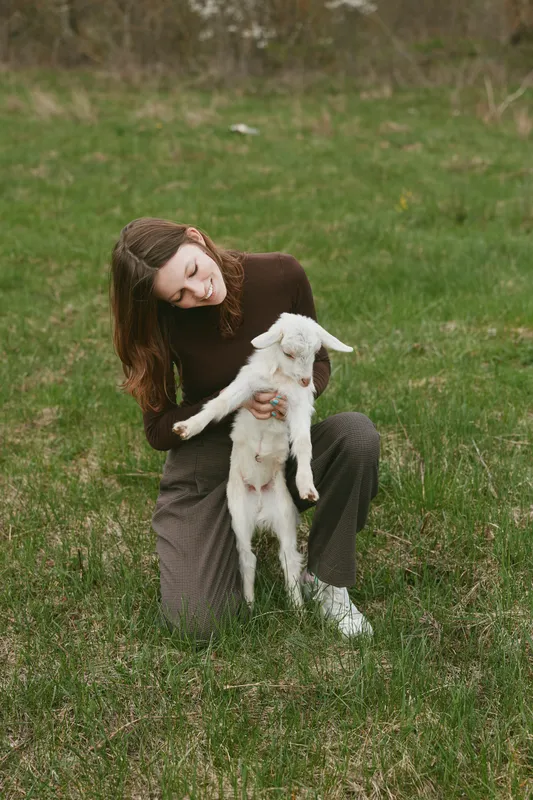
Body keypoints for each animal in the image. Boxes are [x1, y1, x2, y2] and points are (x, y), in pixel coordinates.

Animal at [172, 313, 353, 608]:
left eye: (316, 352)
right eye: (289, 353)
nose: (306, 381)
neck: (281, 378)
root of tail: (259, 507)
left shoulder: (299, 404)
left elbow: (303, 443)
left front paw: (306, 485)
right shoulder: (248, 384)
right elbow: (219, 404)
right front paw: (188, 427)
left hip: (284, 515)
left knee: (288, 559)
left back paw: (297, 609)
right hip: (238, 516)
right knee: (247, 558)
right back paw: (249, 604)